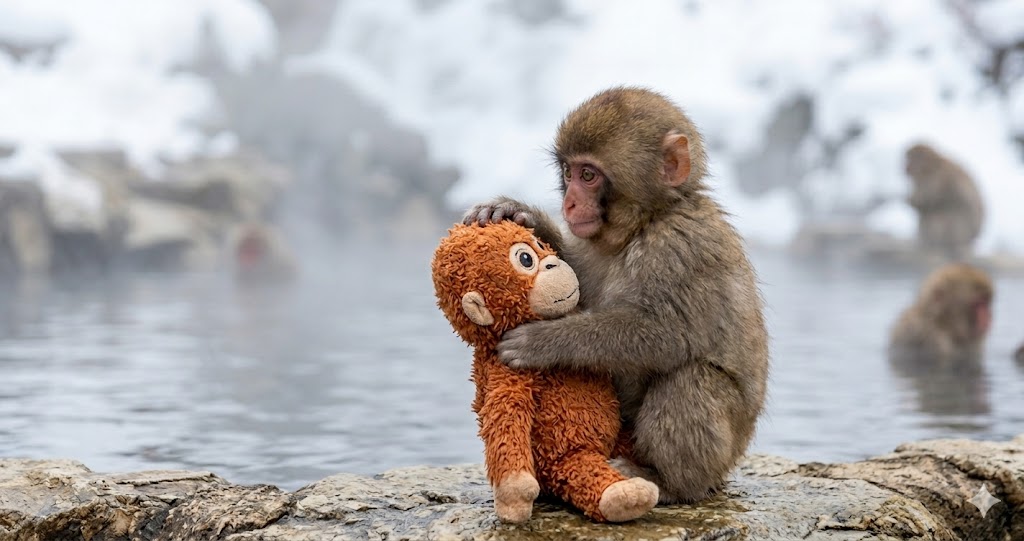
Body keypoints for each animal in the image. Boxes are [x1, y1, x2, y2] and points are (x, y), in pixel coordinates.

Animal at [462, 86, 770, 504]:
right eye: (568, 173)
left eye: (589, 175)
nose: (569, 204)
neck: (646, 222)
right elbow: (576, 285)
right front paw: (522, 214)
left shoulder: (680, 246)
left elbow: (665, 337)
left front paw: (544, 342)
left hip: (725, 451)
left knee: (692, 378)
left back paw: (669, 483)